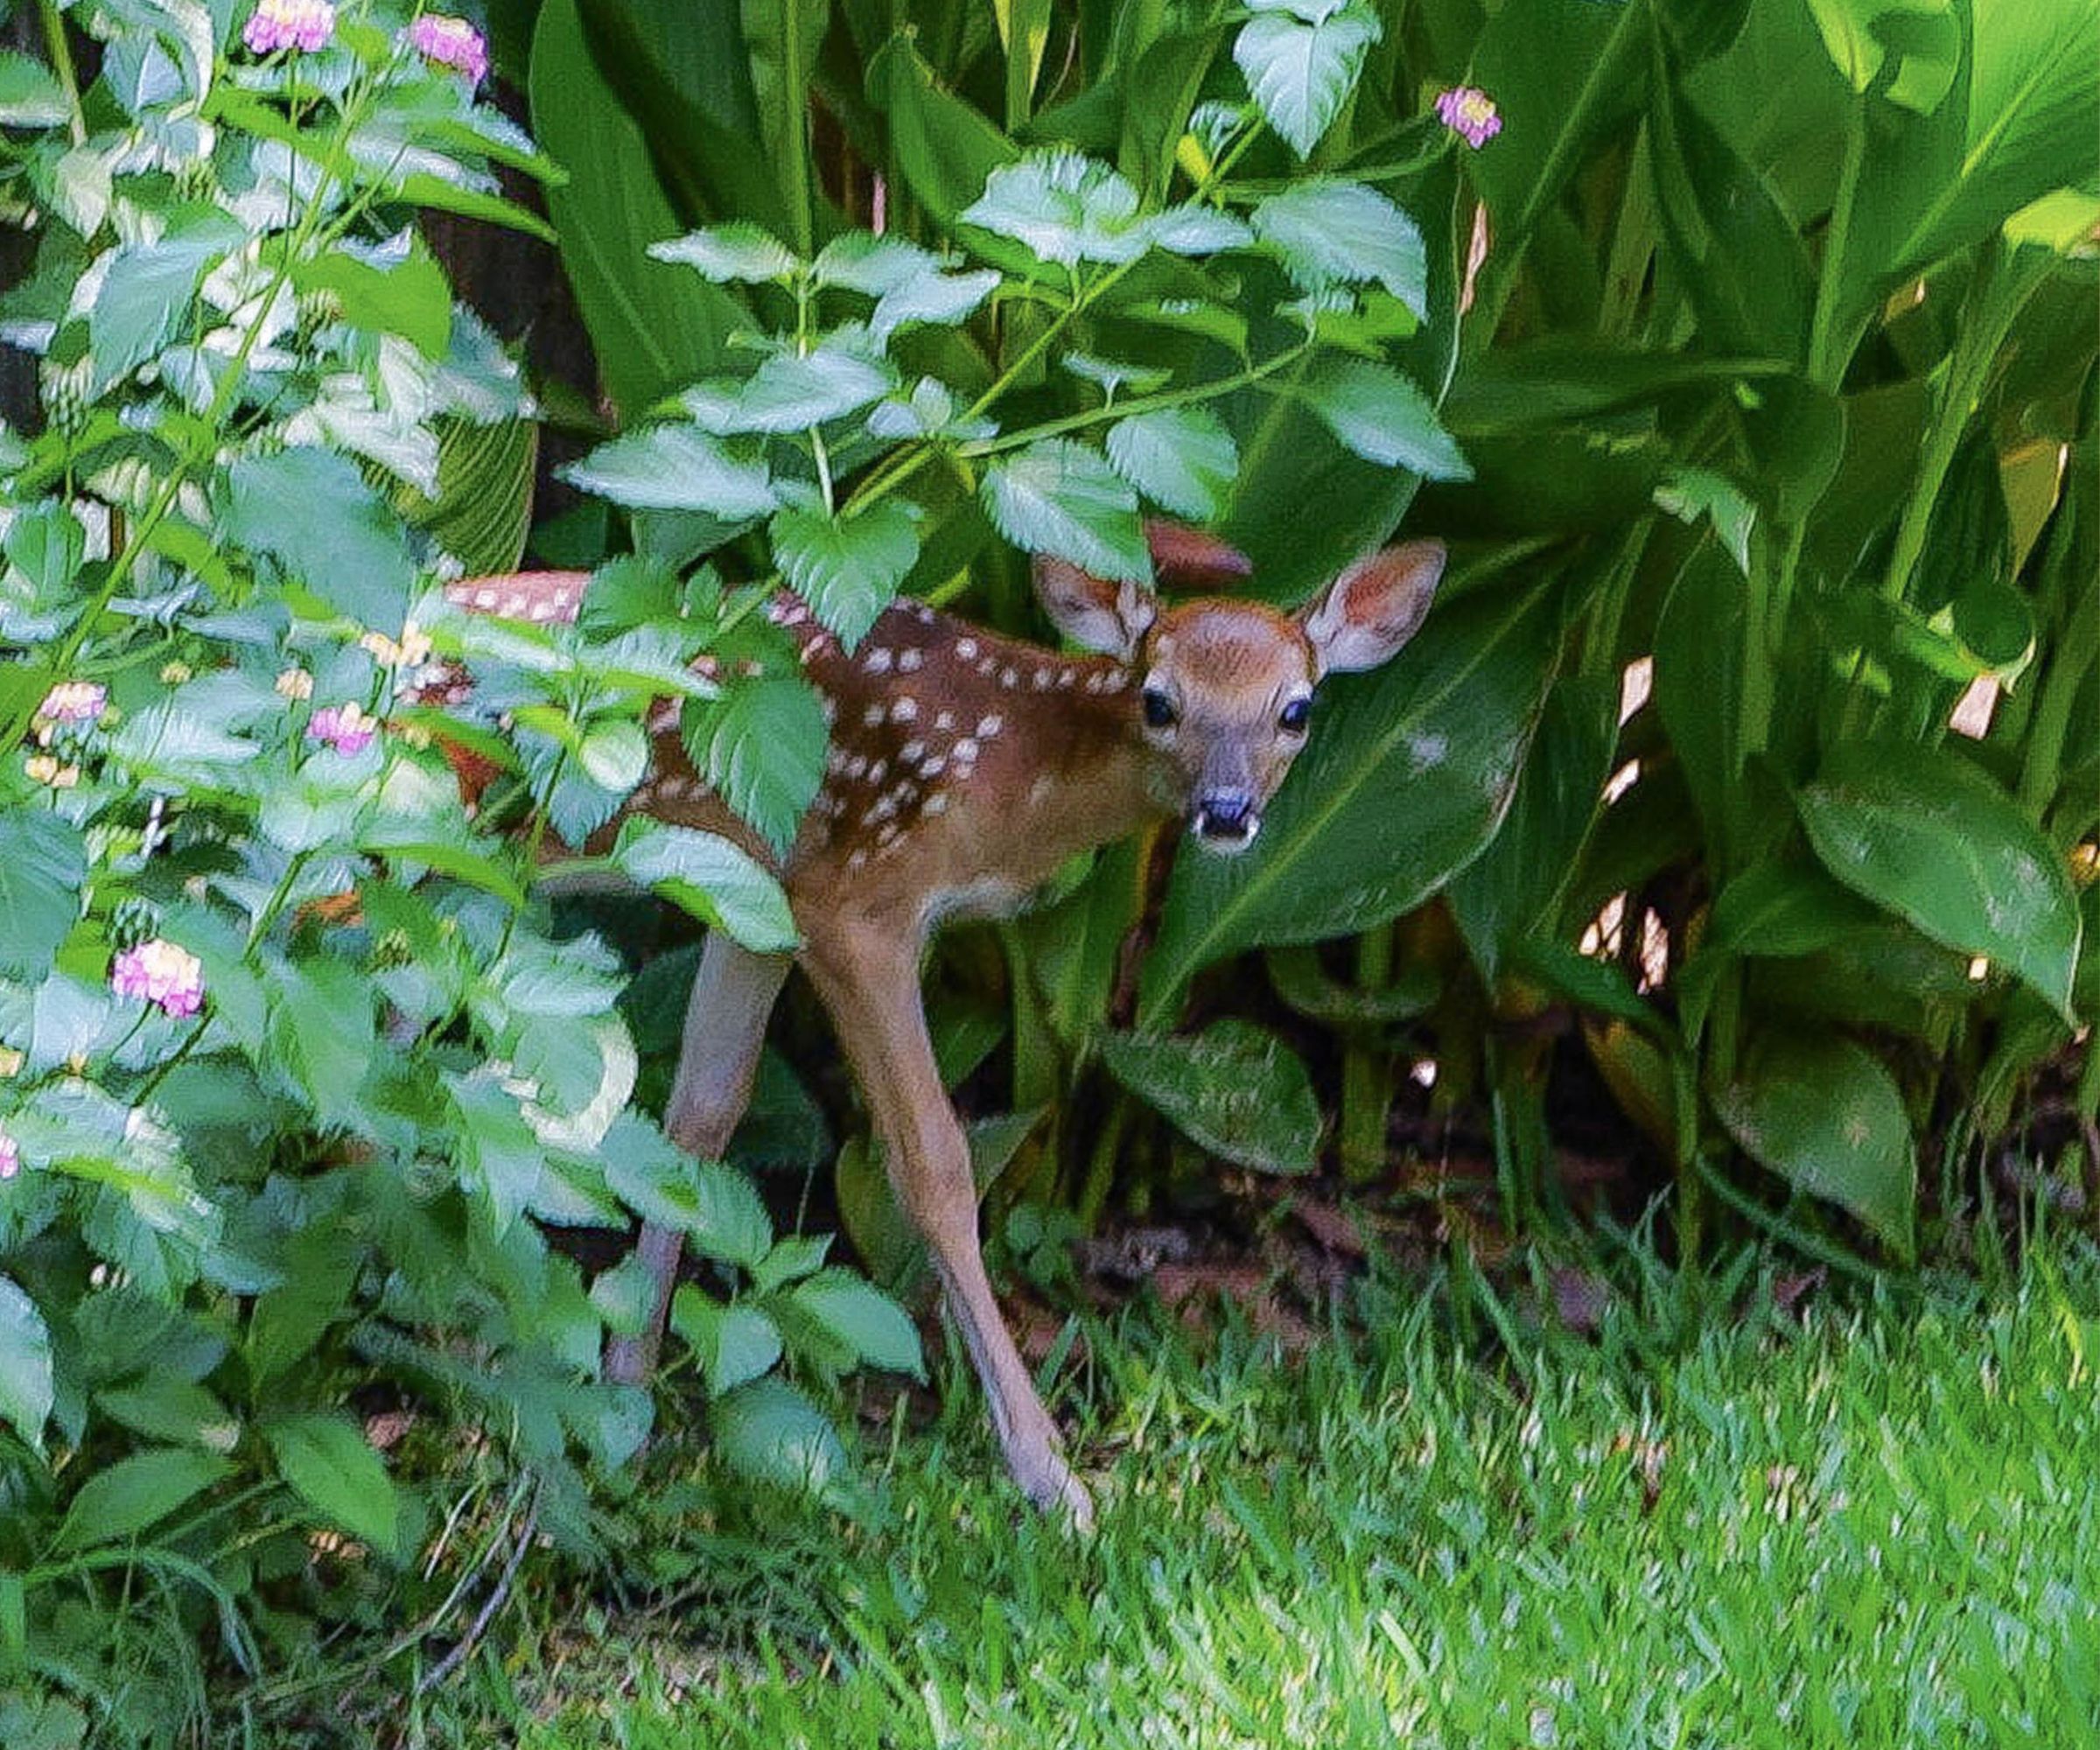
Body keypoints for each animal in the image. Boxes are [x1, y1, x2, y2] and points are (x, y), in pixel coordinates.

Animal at [434, 524, 1446, 1525]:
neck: (1009, 770)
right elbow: (932, 1163)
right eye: (1160, 700)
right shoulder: (858, 903)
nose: (1227, 812)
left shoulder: (761, 892)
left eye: (1296, 709)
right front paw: (1053, 1479)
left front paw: (628, 1391)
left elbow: (702, 1114)